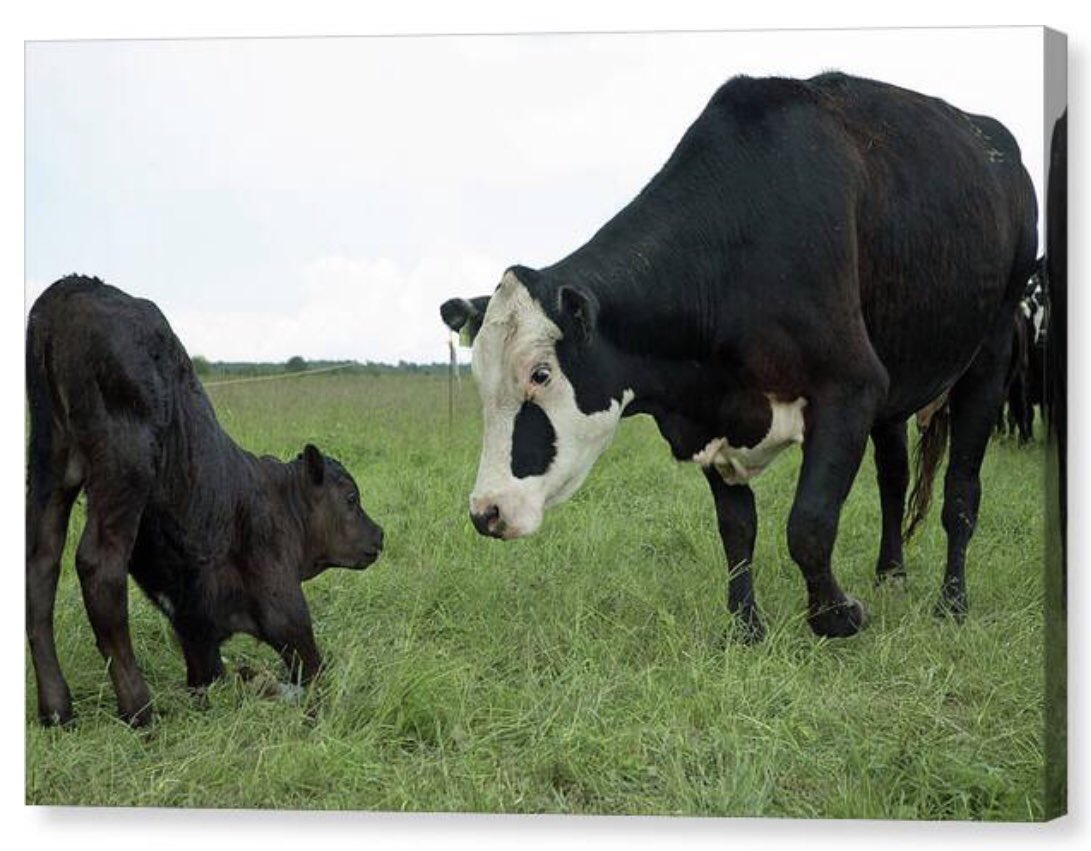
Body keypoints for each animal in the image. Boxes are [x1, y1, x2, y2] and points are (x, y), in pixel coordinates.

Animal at [25, 275, 385, 727]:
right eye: (351, 498)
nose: (380, 534)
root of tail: (73, 287)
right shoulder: (285, 610)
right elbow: (316, 675)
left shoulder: (197, 632)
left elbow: (213, 679)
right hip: (125, 464)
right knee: (98, 566)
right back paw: (141, 711)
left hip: (50, 459)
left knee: (40, 564)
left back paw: (57, 711)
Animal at [441, 72, 1037, 642]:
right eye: (480, 380)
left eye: (540, 374)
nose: (486, 511)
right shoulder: (713, 412)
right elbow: (737, 529)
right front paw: (746, 627)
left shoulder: (851, 388)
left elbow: (809, 525)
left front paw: (837, 616)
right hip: (896, 387)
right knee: (893, 479)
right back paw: (891, 574)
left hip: (989, 355)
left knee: (961, 492)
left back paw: (952, 602)